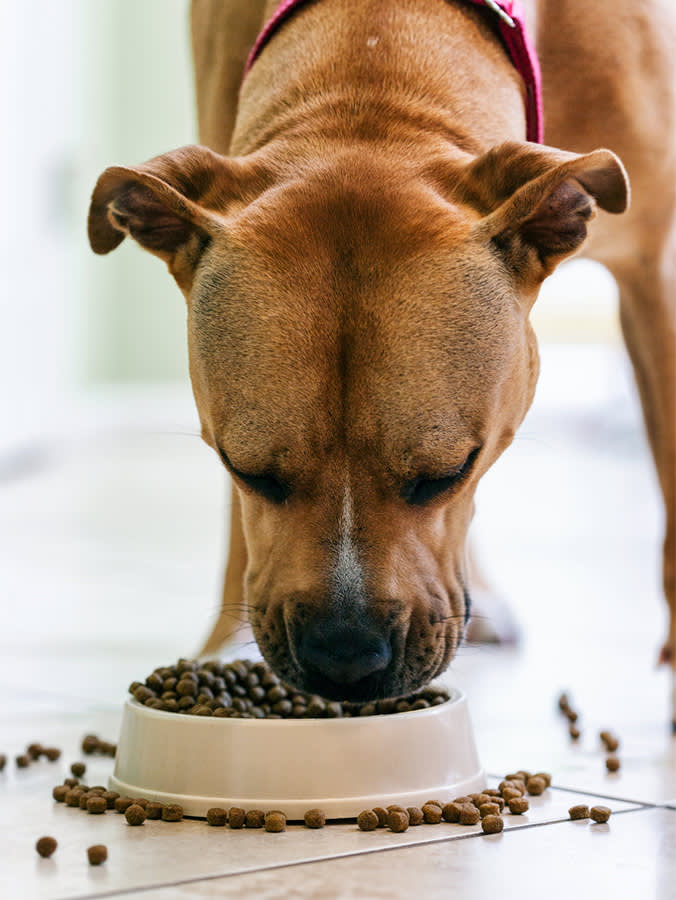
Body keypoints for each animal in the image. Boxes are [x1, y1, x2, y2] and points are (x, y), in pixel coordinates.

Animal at [87, 1, 672, 716]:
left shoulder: (655, 273)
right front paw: (223, 649)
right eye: (247, 470)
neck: (374, 69)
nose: (344, 658)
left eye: (449, 471)